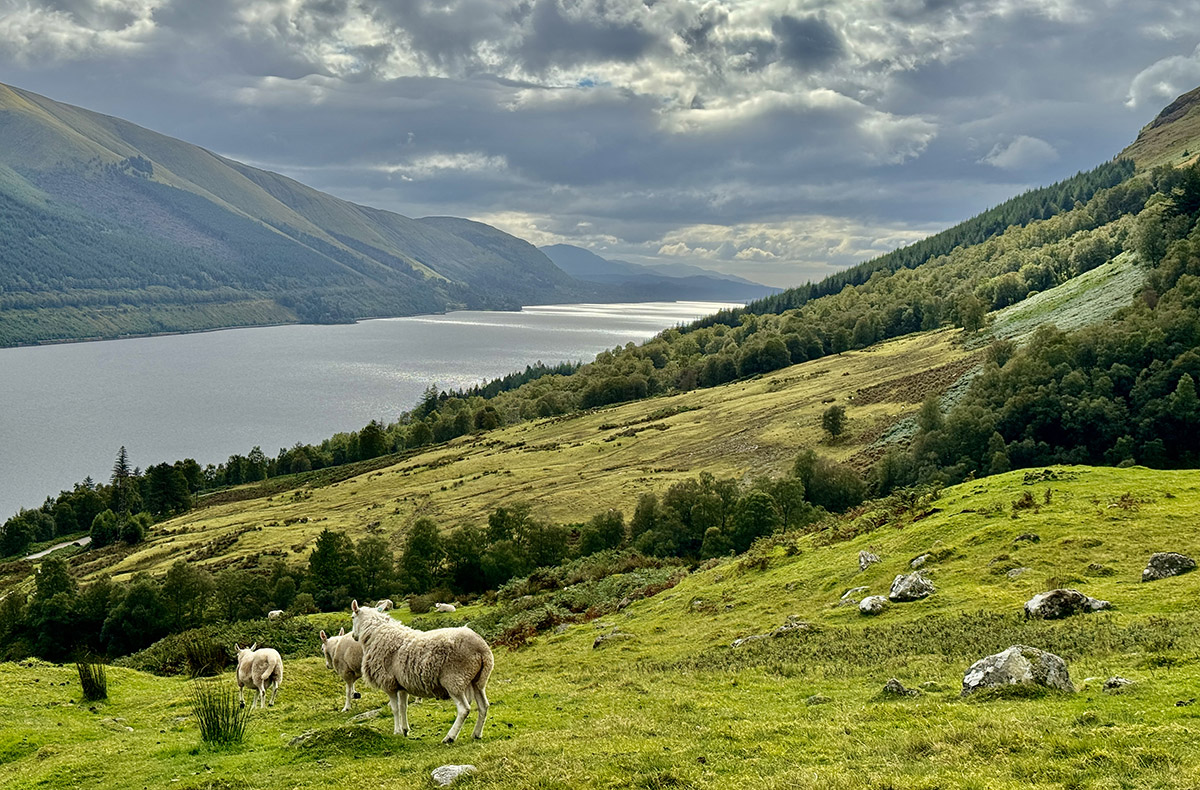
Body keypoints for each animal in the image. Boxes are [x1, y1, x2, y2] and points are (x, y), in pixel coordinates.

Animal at [350, 600, 492, 739]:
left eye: (352, 617)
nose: (353, 636)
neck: (377, 632)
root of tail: (481, 648)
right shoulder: (402, 684)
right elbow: (403, 707)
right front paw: (405, 730)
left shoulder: (388, 683)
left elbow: (395, 709)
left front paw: (397, 731)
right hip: (478, 680)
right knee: (484, 706)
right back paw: (476, 734)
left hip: (454, 679)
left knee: (464, 709)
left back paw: (450, 737)